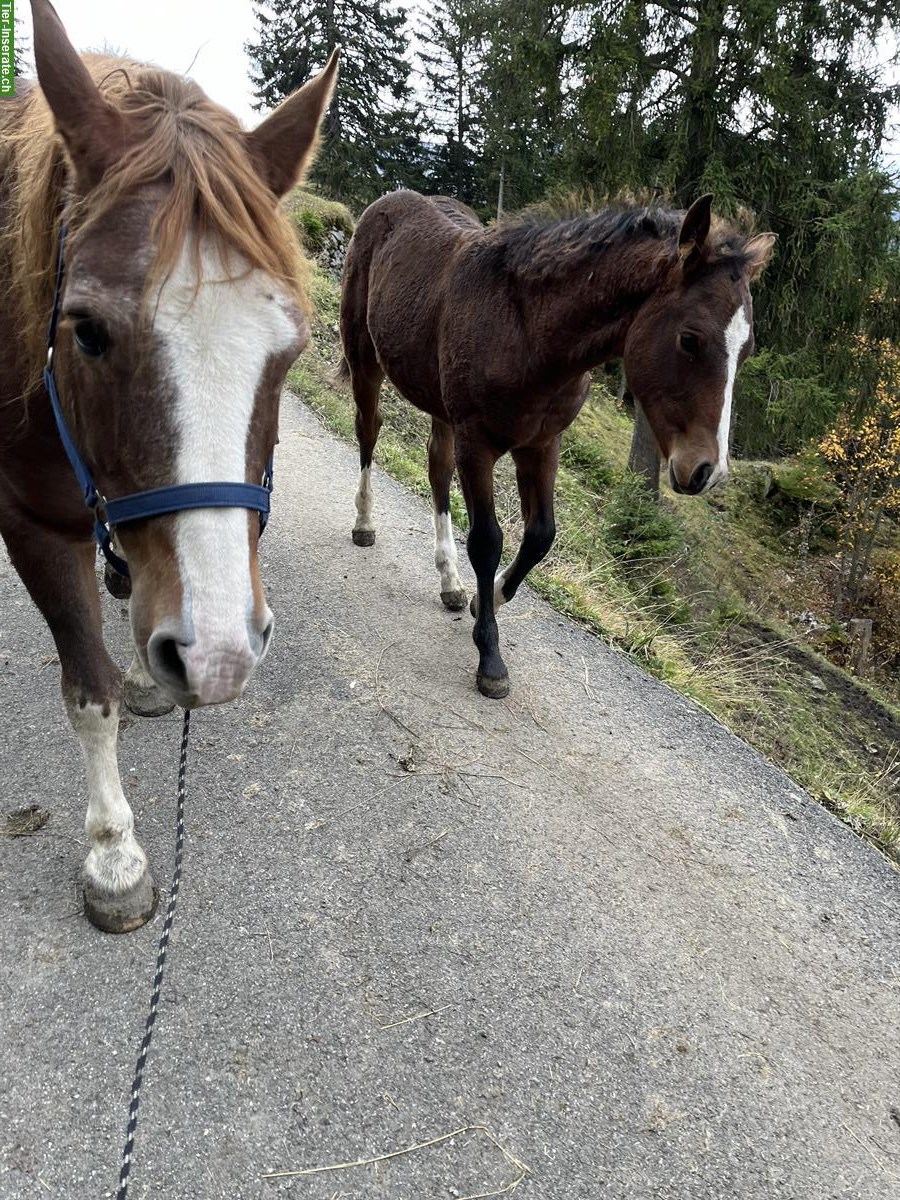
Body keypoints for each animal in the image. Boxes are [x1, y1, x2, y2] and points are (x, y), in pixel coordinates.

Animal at [0, 0, 338, 931]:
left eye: (291, 351)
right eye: (85, 329)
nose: (220, 656)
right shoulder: (30, 523)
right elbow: (90, 694)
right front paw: (114, 852)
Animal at [338, 193, 777, 700]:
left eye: (747, 349)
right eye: (690, 338)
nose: (708, 471)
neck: (526, 331)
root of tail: (389, 201)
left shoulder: (542, 444)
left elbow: (541, 535)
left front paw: (488, 599)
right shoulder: (477, 442)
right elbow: (487, 540)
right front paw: (490, 657)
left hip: (441, 408)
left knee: (437, 468)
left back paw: (450, 582)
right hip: (365, 359)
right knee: (369, 431)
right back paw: (364, 523)